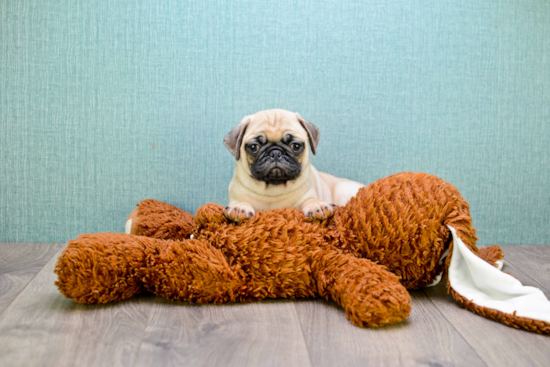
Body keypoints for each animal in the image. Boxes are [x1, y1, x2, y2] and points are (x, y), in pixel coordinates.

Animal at [222, 109, 364, 223]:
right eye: (253, 147)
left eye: (296, 146)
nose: (275, 153)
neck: (273, 189)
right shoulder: (236, 196)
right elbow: (240, 202)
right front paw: (240, 207)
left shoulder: (308, 195)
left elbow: (310, 200)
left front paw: (316, 205)